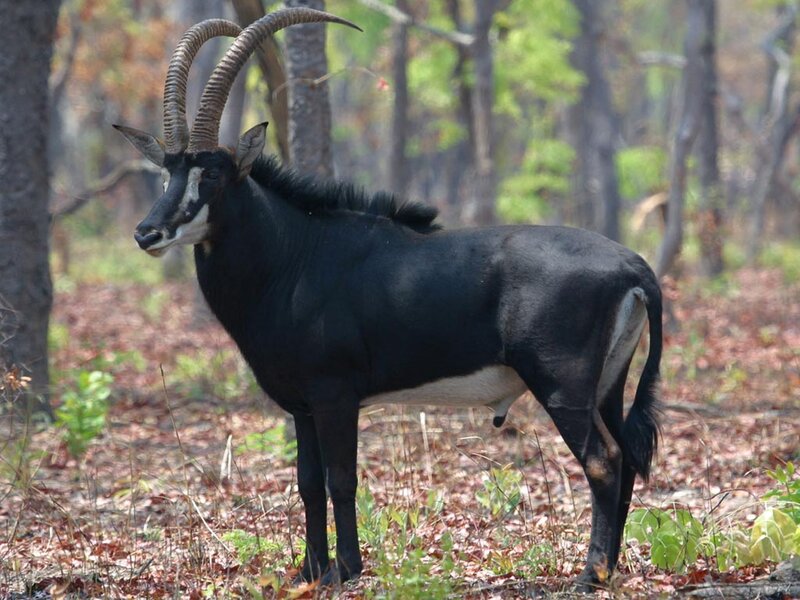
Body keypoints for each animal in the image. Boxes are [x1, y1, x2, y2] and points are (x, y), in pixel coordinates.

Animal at [115, 7, 662, 592]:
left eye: (213, 173)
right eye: (168, 171)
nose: (147, 233)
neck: (293, 256)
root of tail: (633, 265)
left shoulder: (335, 395)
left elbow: (341, 479)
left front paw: (346, 570)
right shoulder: (302, 405)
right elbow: (307, 482)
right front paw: (309, 571)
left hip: (562, 386)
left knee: (603, 460)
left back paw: (591, 575)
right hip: (606, 385)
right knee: (627, 458)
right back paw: (612, 567)